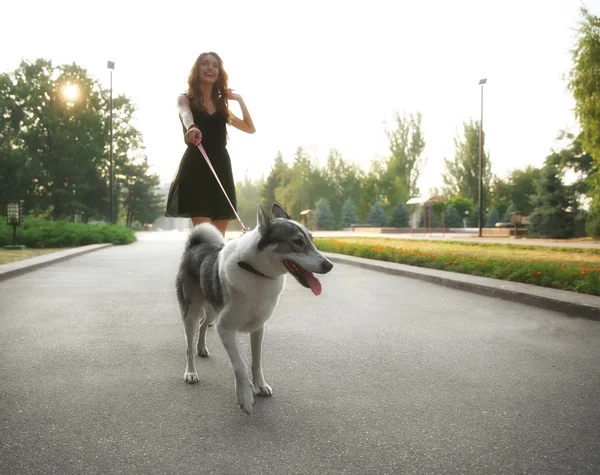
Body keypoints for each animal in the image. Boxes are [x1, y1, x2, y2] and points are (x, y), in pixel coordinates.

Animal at [176, 203, 332, 414]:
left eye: (312, 239)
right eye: (297, 241)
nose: (329, 265)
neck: (255, 271)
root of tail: (195, 245)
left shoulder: (258, 328)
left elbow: (256, 362)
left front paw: (259, 385)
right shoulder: (225, 329)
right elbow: (240, 366)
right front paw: (245, 397)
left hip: (212, 310)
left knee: (203, 325)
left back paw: (202, 348)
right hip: (191, 313)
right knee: (189, 345)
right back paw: (191, 372)